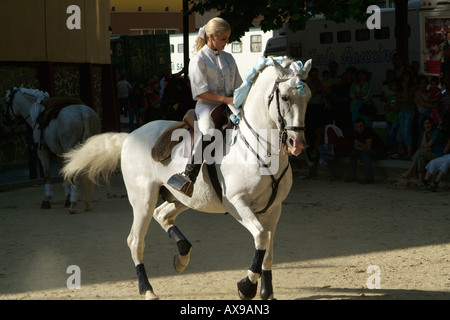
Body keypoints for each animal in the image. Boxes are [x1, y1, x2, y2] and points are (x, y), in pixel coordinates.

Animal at [61, 58, 312, 300]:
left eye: (307, 97)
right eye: (285, 97)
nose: (297, 143)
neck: (258, 147)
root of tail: (130, 136)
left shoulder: (274, 208)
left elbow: (268, 251)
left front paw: (267, 293)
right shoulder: (237, 204)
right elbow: (261, 237)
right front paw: (246, 287)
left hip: (183, 198)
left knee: (162, 215)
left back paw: (182, 256)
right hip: (143, 200)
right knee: (136, 240)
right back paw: (147, 289)